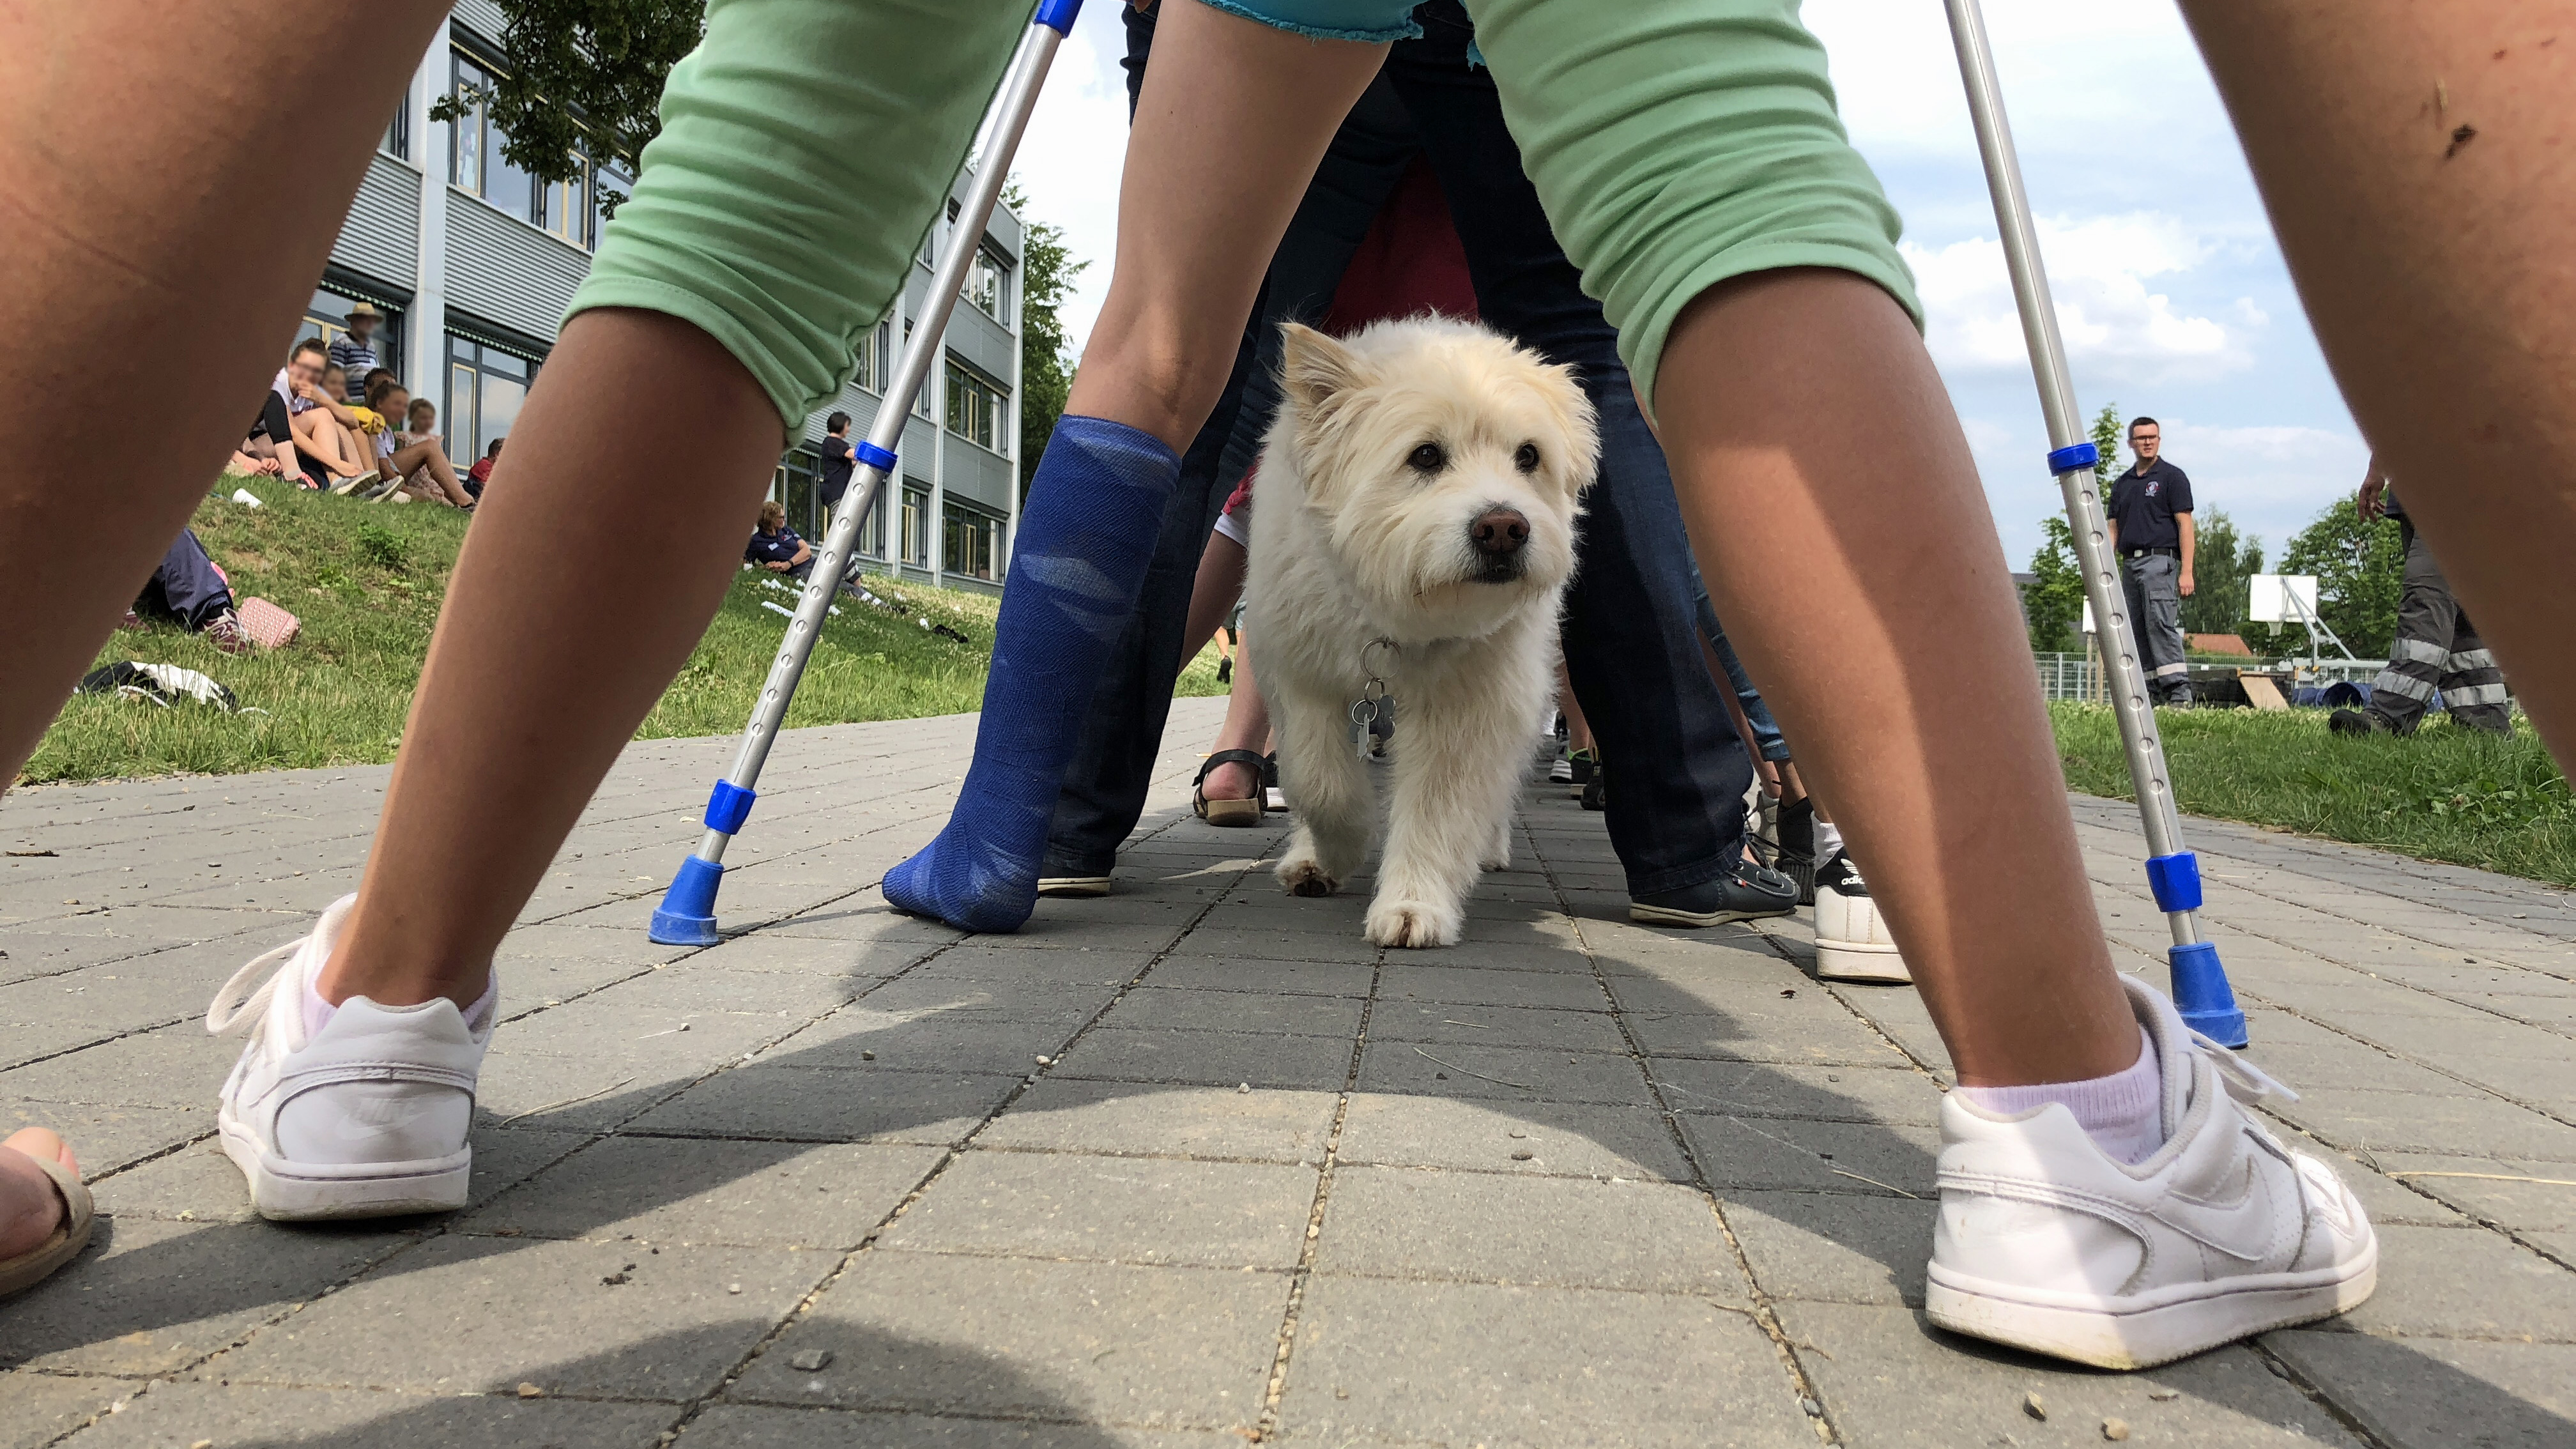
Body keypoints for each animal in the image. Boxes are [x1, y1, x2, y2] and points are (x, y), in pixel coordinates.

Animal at [1241, 316, 1586, 944]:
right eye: (1425, 456)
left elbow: (1438, 808)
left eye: (1529, 456)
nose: (1504, 528)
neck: (1394, 614)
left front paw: (1413, 903)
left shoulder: (1468, 707)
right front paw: (1338, 849)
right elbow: (1318, 780)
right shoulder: (1300, 679)